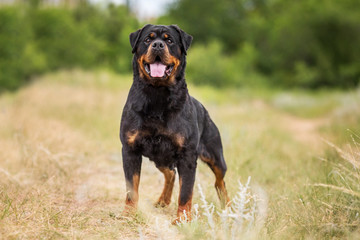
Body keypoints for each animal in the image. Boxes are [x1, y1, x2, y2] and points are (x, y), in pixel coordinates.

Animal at [119, 23, 229, 223]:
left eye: (169, 40)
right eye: (147, 39)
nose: (157, 45)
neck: (156, 95)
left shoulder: (187, 156)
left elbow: (185, 192)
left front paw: (182, 221)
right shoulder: (130, 150)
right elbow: (131, 188)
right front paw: (128, 214)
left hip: (215, 156)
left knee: (220, 181)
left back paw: (229, 206)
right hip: (160, 157)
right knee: (170, 173)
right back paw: (163, 200)